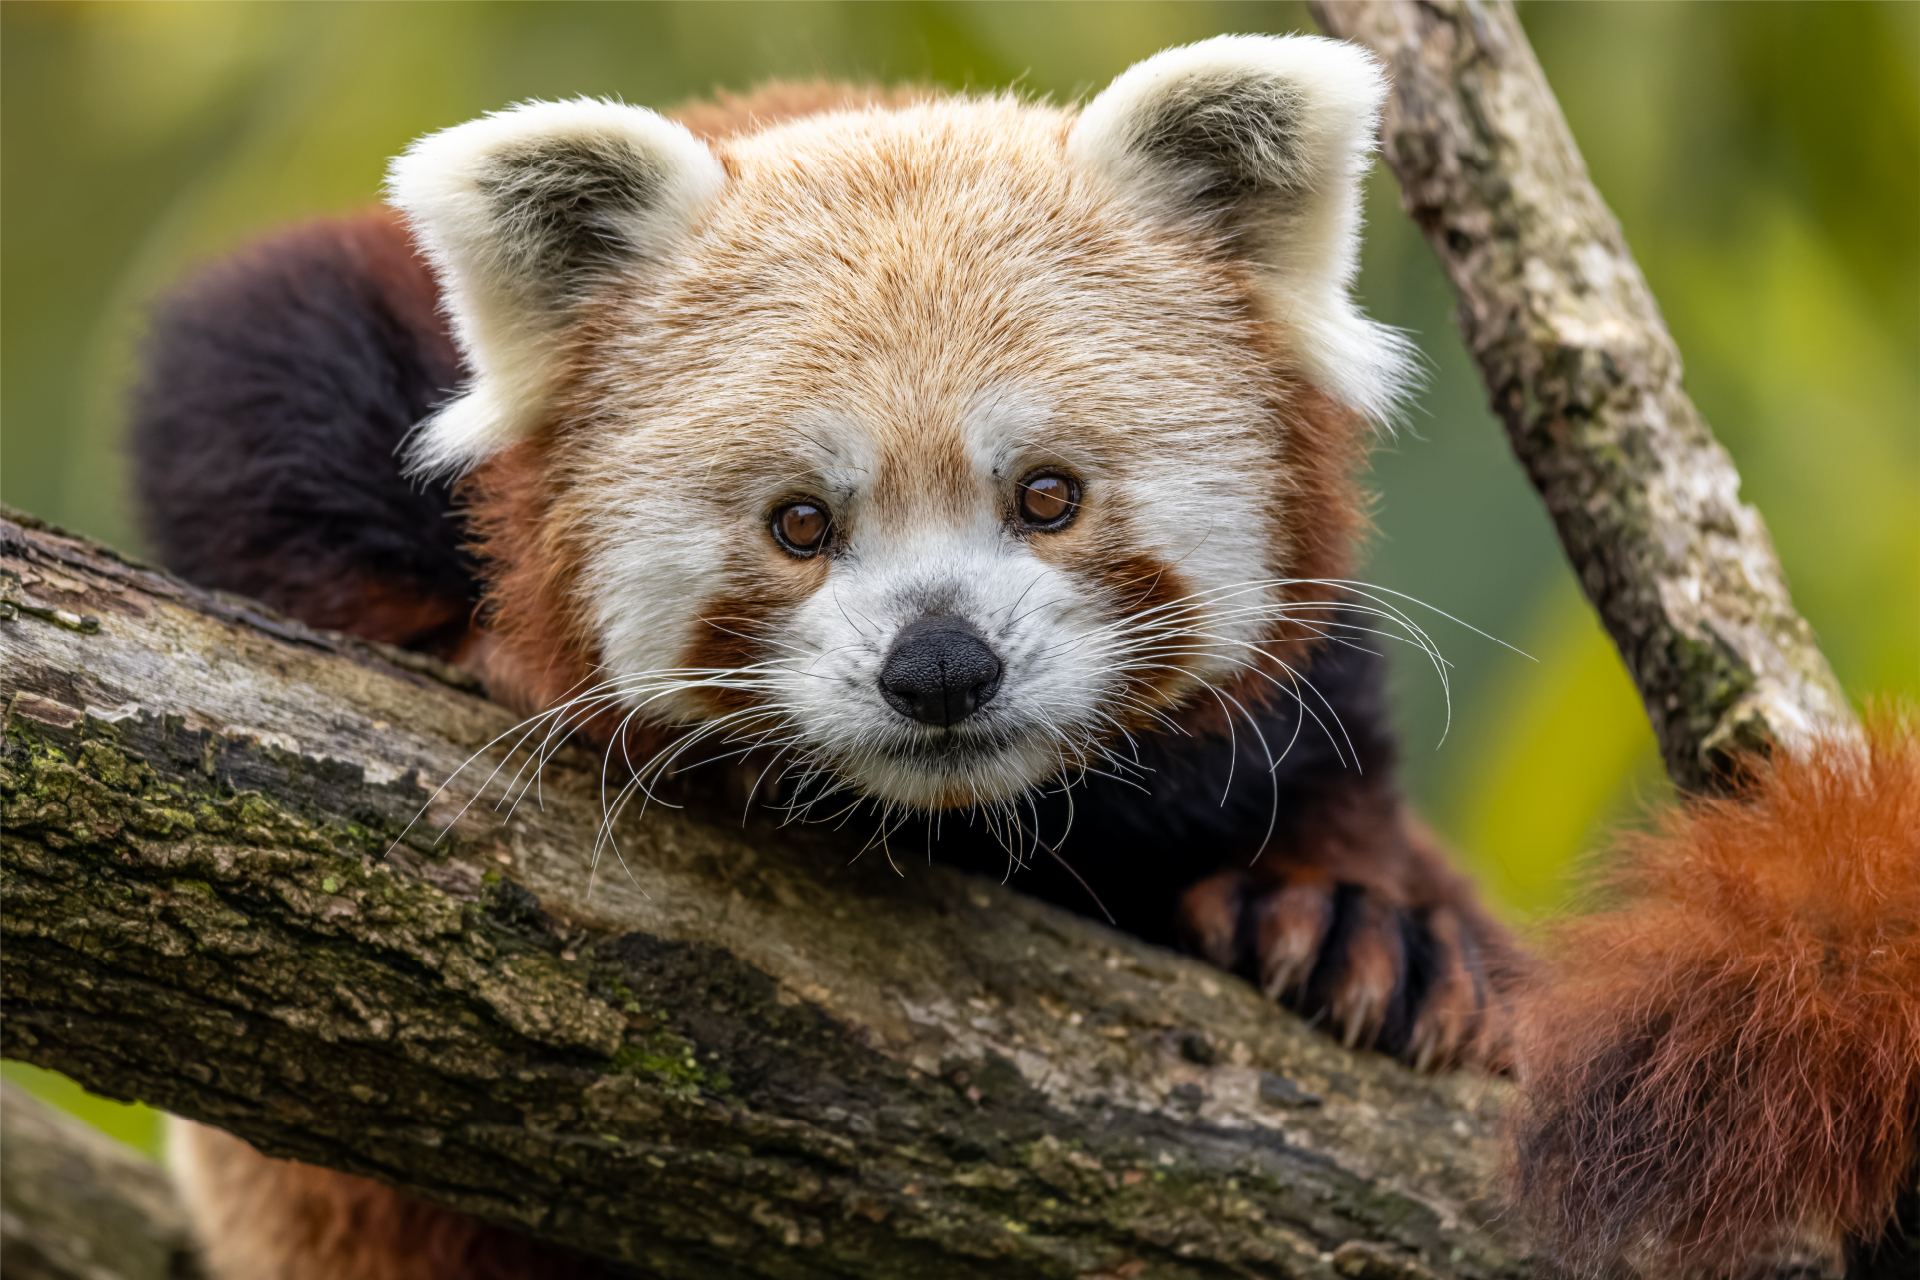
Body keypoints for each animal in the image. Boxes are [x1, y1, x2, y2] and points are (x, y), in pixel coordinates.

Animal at [127, 29, 1912, 1280]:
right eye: (800, 523)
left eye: (1047, 495)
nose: (941, 667)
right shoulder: (293, 349)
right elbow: (226, 387)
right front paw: (497, 656)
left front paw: (1359, 919)